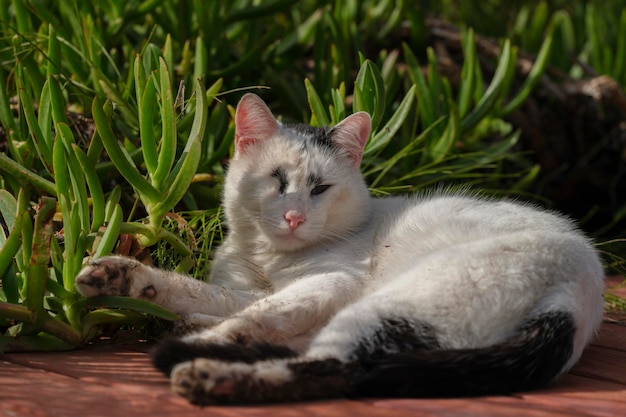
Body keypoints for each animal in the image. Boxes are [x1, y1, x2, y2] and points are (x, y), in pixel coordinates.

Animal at [74, 93, 604, 404]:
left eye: (321, 188)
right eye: (277, 181)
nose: (294, 216)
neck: (268, 259)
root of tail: (580, 290)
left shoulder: (332, 282)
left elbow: (262, 312)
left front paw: (225, 331)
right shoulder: (248, 288)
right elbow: (201, 291)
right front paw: (118, 274)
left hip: (394, 301)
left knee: (335, 369)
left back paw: (209, 369)